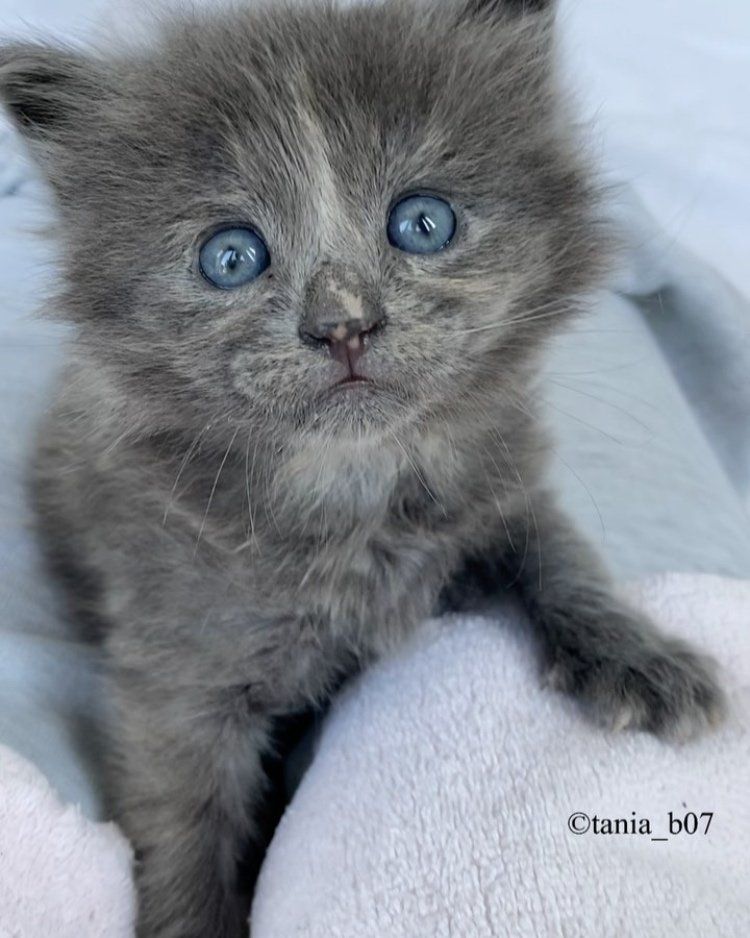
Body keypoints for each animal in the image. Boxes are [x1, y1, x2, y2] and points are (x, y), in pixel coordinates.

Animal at [0, 1, 728, 936]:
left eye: (423, 222)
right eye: (230, 257)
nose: (343, 324)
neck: (356, 488)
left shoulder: (501, 480)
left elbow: (558, 550)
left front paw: (636, 655)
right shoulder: (174, 663)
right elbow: (184, 827)